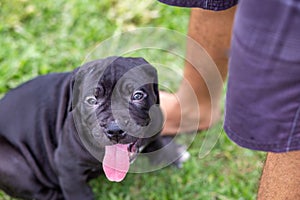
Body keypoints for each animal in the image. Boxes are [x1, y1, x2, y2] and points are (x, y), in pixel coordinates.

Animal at [0, 56, 185, 200]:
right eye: (91, 100)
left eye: (137, 95)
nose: (115, 129)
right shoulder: (68, 167)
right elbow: (79, 193)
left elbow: (158, 144)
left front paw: (172, 155)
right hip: (13, 165)